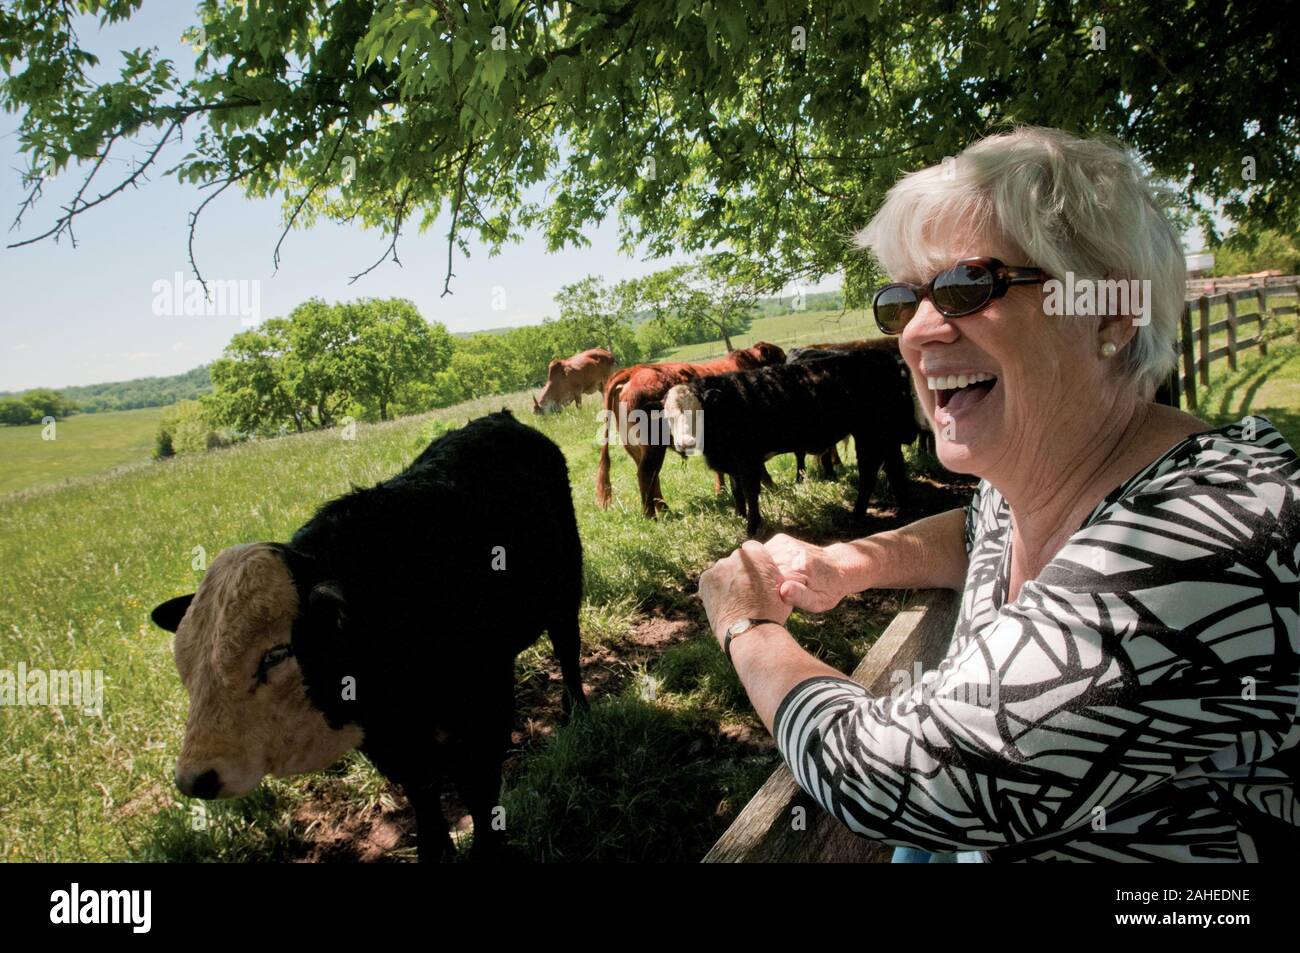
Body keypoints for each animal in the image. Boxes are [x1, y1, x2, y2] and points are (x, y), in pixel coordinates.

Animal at [595, 343, 785, 517]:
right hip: (653, 446)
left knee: (652, 477)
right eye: (781, 359)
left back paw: (664, 510)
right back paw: (650, 515)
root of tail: (633, 371)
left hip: (635, 447)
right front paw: (772, 487)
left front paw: (721, 492)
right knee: (646, 474)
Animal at [665, 348, 920, 535]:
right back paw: (903, 507)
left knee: (870, 470)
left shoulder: (748, 461)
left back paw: (858, 515)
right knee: (893, 466)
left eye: (697, 413)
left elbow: (750, 492)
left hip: (870, 432)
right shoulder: (733, 463)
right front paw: (740, 517)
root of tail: (878, 355)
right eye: (670, 418)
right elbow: (737, 492)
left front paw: (752, 527)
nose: (685, 443)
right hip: (882, 434)